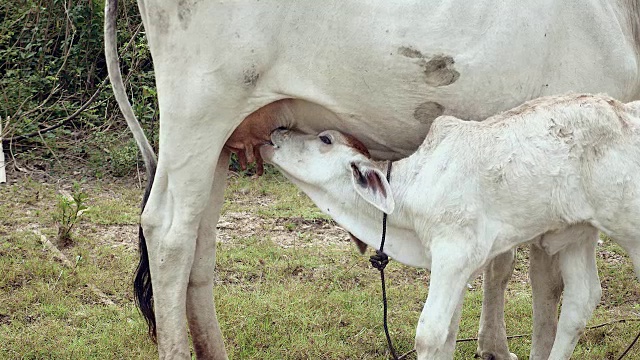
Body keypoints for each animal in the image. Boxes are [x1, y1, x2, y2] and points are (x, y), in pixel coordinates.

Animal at [258, 93, 640, 360]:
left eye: (325, 139)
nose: (277, 131)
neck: (412, 187)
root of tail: (628, 112)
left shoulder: (453, 254)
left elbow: (429, 334)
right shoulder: (457, 265)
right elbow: (448, 334)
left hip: (630, 230)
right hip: (578, 232)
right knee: (581, 300)